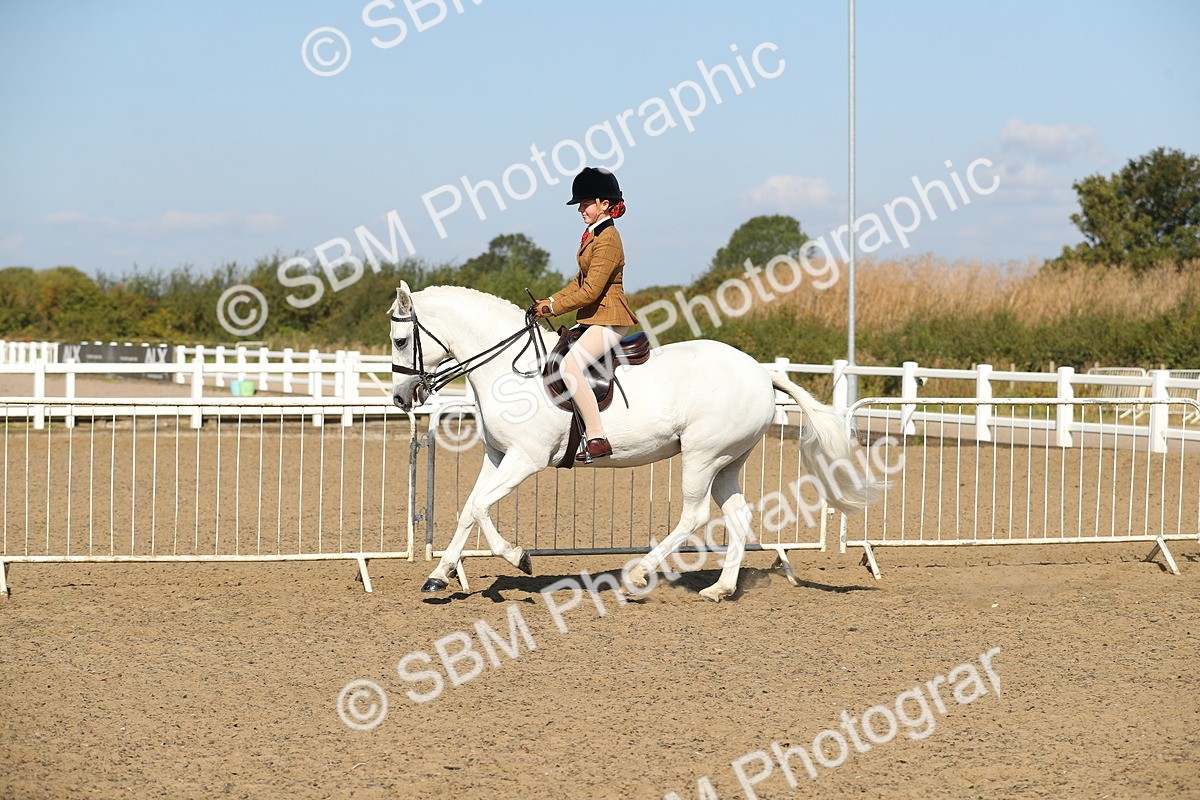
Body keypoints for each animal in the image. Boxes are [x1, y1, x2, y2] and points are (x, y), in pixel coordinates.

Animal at [389, 282, 880, 601]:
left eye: (398, 339)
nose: (400, 398)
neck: (512, 372)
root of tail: (761, 371)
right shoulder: (498, 456)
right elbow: (468, 509)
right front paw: (438, 576)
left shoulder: (525, 459)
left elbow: (479, 507)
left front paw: (518, 557)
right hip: (727, 461)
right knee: (738, 515)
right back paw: (720, 588)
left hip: (702, 456)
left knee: (694, 515)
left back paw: (640, 573)